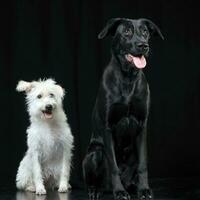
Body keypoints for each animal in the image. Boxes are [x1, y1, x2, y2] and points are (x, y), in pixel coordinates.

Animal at [82, 17, 163, 200]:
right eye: (126, 32)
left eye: (145, 32)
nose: (143, 45)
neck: (128, 78)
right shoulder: (107, 127)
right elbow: (114, 167)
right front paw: (119, 192)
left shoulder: (142, 126)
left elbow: (143, 165)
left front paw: (144, 189)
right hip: (94, 153)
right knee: (95, 180)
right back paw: (96, 190)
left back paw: (132, 187)